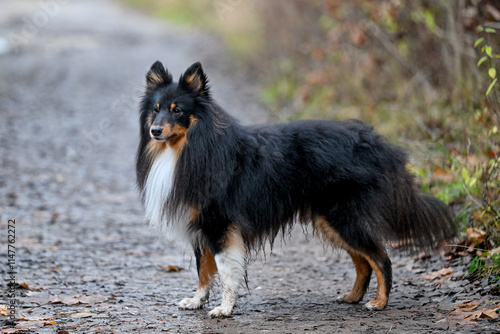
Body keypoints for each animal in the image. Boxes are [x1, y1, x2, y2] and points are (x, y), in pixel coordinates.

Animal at [135, 60, 456, 318]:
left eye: (178, 111)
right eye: (156, 109)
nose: (155, 131)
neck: (189, 147)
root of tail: (376, 144)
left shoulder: (219, 225)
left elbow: (225, 270)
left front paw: (224, 309)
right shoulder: (200, 227)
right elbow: (203, 270)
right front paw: (196, 302)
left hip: (343, 217)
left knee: (380, 257)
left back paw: (380, 302)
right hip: (330, 221)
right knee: (363, 261)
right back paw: (352, 297)